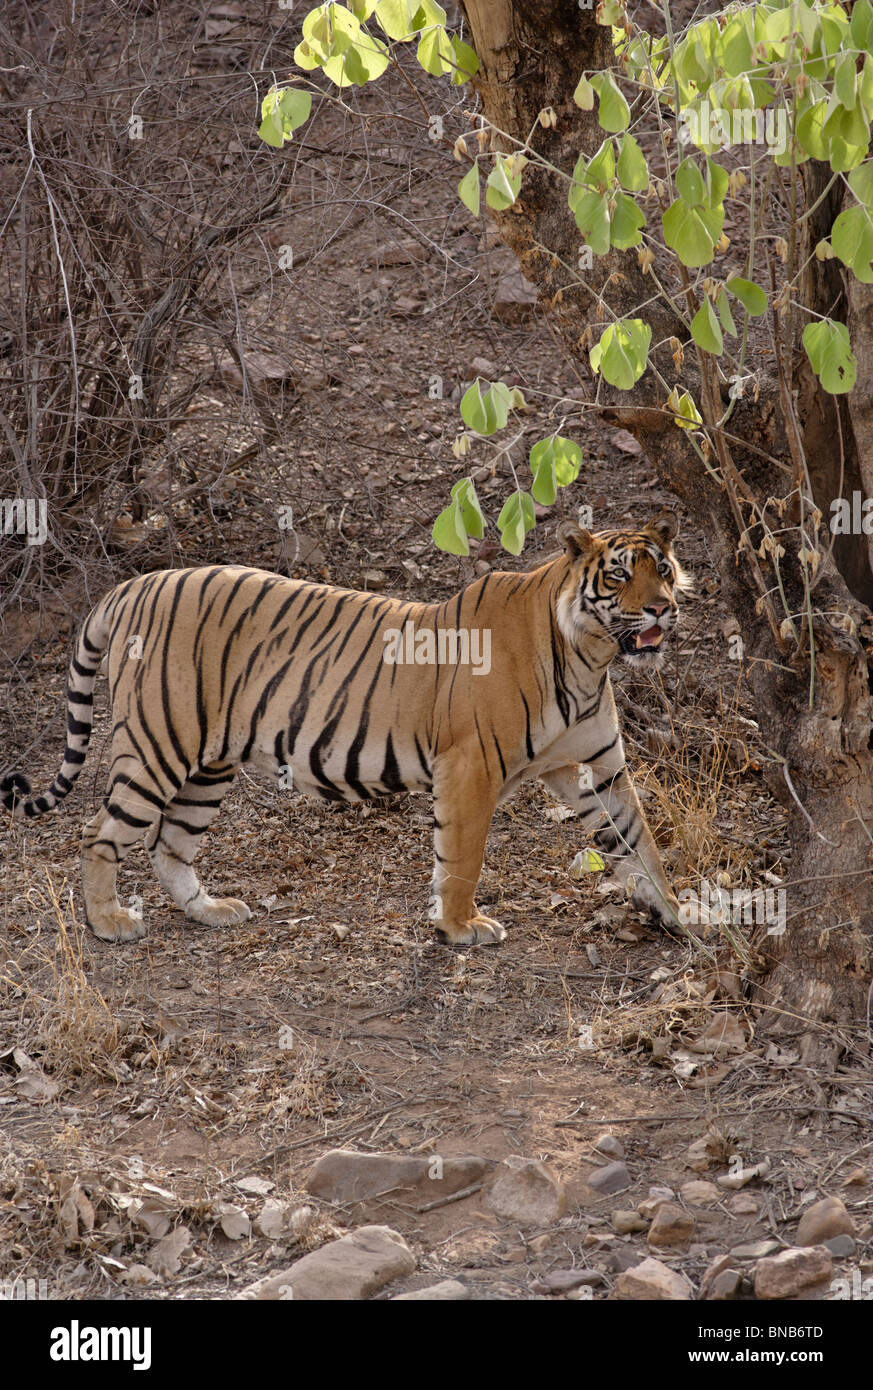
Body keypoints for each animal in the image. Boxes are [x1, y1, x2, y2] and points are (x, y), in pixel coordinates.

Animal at [1, 510, 691, 948]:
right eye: (619, 575)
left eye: (661, 568)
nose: (662, 608)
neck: (589, 656)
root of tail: (130, 585)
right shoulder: (470, 767)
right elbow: (462, 856)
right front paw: (460, 927)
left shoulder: (596, 766)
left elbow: (638, 842)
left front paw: (682, 915)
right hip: (157, 745)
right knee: (99, 833)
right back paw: (108, 922)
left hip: (208, 763)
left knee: (170, 843)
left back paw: (211, 911)